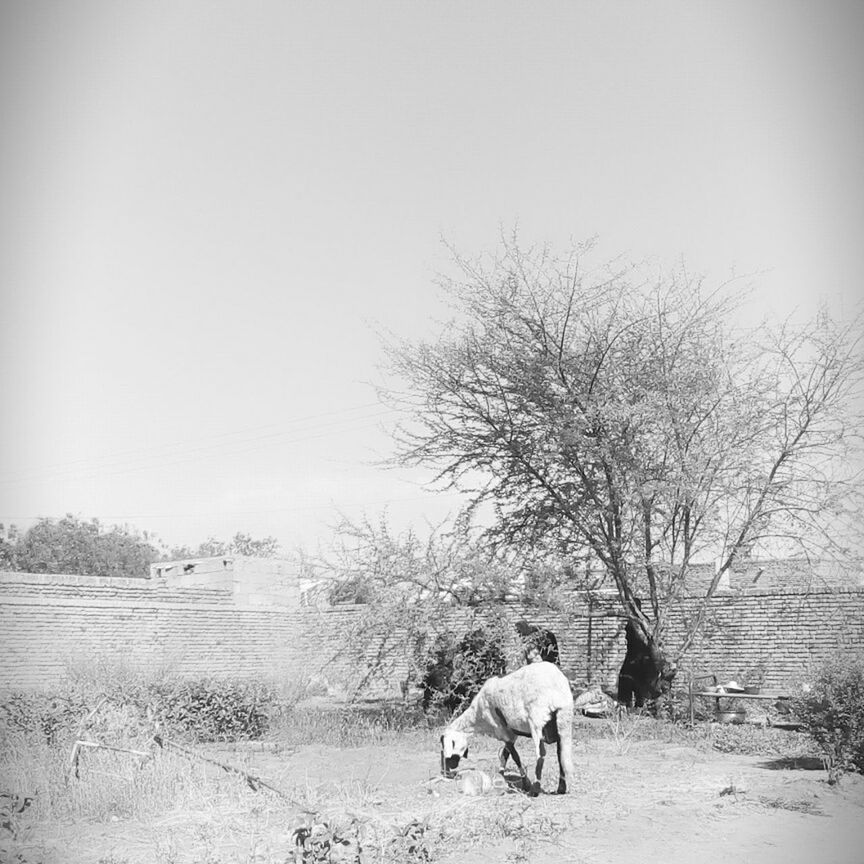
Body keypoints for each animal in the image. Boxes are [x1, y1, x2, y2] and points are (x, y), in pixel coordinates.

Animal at [438, 660, 572, 796]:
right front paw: (500, 776)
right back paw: (561, 788)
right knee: (561, 752)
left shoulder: (501, 729)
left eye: (444, 745)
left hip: (537, 720)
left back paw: (535, 790)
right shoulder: (511, 733)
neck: (477, 715)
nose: (447, 772)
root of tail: (557, 690)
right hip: (563, 722)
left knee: (541, 754)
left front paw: (526, 784)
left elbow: (514, 756)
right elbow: (505, 754)